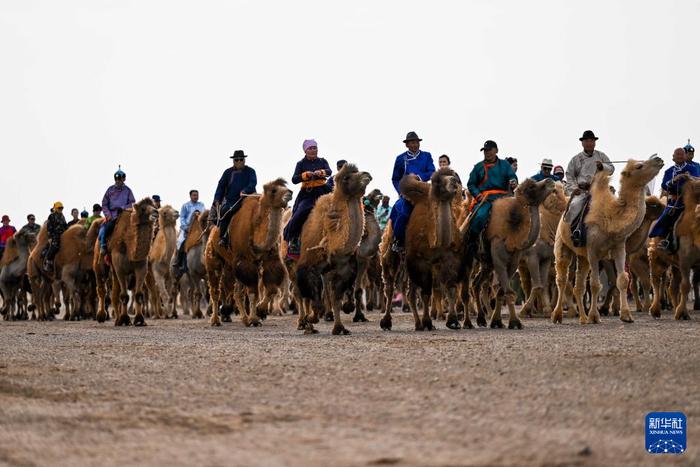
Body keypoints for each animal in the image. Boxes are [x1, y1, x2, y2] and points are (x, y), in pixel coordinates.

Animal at [93, 199, 157, 328]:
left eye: (154, 206)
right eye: (143, 208)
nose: (156, 212)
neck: (129, 246)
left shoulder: (141, 267)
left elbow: (138, 294)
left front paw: (139, 320)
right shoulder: (120, 268)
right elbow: (124, 296)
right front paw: (125, 319)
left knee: (115, 293)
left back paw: (117, 319)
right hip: (100, 262)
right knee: (102, 287)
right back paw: (102, 316)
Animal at [296, 163, 372, 334]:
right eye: (347, 177)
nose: (367, 174)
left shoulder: (344, 270)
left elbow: (336, 298)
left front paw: (339, 328)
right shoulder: (309, 266)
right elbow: (314, 299)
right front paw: (312, 319)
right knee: (301, 294)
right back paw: (305, 324)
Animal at [380, 168, 462, 332]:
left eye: (454, 177)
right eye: (439, 182)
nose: (453, 182)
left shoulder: (449, 258)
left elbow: (450, 288)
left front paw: (453, 321)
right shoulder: (421, 261)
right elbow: (425, 293)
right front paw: (428, 322)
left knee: (410, 292)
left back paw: (417, 324)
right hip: (391, 256)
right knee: (390, 287)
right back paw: (386, 322)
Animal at [516, 181, 568, 320]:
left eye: (564, 189)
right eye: (554, 191)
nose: (567, 204)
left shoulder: (545, 258)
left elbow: (543, 285)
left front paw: (547, 310)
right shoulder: (532, 257)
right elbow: (537, 285)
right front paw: (524, 311)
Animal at [552, 157, 660, 326]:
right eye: (639, 166)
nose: (658, 159)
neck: (612, 216)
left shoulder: (619, 247)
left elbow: (622, 280)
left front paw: (626, 315)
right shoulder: (593, 251)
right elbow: (595, 284)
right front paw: (595, 316)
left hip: (582, 256)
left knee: (579, 285)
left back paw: (583, 318)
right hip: (563, 245)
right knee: (562, 278)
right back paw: (557, 316)